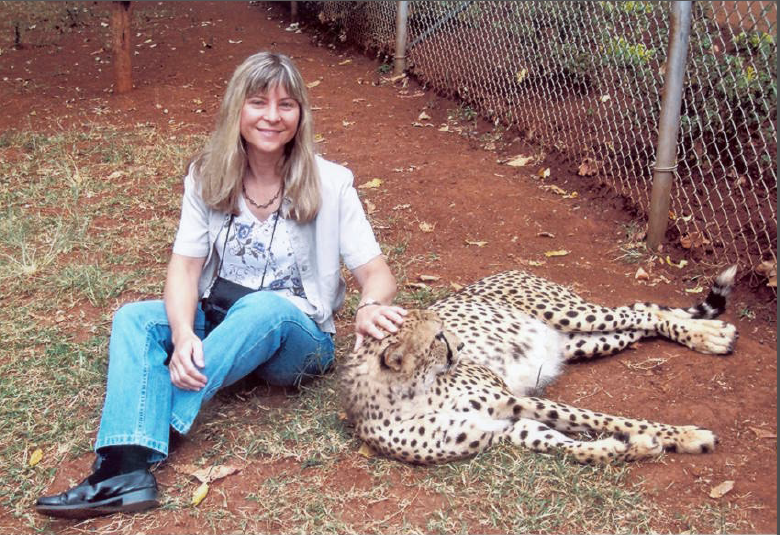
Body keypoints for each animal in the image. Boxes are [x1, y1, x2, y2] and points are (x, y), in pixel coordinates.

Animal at [338, 268, 736, 464]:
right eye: (438, 337)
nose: (461, 347)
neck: (413, 394)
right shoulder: (500, 427)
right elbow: (565, 445)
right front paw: (630, 448)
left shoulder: (512, 401)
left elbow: (608, 419)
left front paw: (687, 436)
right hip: (584, 343)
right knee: (637, 325)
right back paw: (711, 333)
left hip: (573, 314)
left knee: (641, 312)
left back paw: (711, 336)